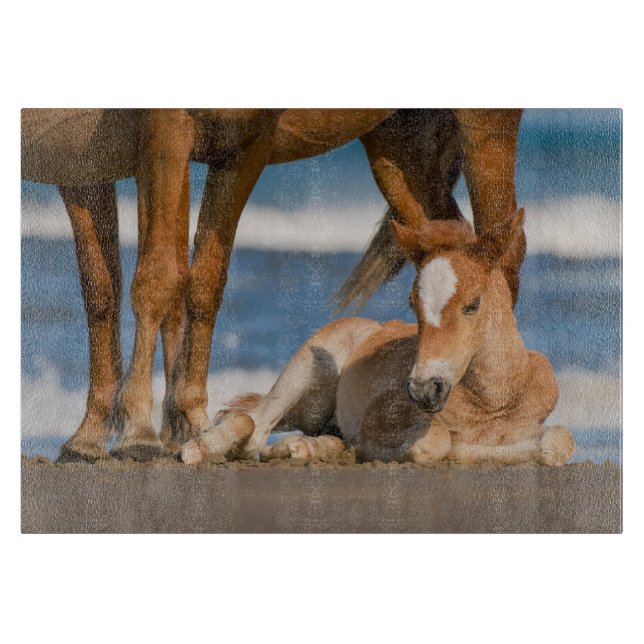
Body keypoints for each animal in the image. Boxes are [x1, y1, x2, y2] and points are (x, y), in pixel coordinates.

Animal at [21, 108, 524, 462]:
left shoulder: (232, 141)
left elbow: (173, 280)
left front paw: (145, 432)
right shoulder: (89, 158)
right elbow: (104, 288)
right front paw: (96, 437)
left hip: (484, 126)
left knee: (505, 252)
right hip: (400, 144)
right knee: (451, 242)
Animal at [180, 211, 575, 467]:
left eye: (473, 304)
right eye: (413, 303)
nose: (424, 389)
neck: (493, 400)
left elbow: (558, 443)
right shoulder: (381, 414)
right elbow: (438, 442)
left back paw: (307, 448)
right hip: (311, 366)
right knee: (252, 427)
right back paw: (199, 449)